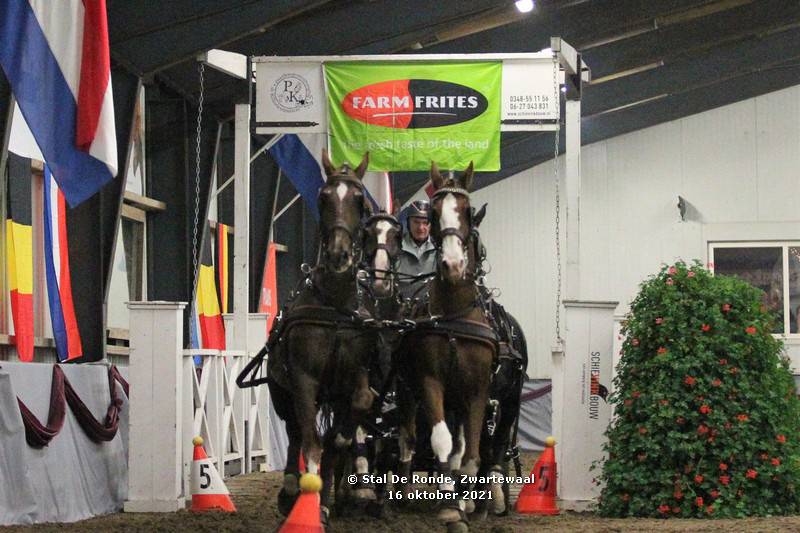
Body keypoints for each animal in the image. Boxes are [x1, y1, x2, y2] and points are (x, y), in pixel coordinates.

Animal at [266, 150, 377, 522]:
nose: (338, 254)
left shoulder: (353, 380)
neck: (335, 306)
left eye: (359, 201)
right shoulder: (303, 379)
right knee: (294, 433)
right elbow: (311, 442)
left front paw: (326, 497)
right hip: (280, 391)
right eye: (323, 197)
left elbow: (339, 437)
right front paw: (309, 502)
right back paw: (289, 490)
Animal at [398, 162, 497, 532]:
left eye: (468, 211)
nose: (453, 266)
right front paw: (449, 508)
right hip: (408, 391)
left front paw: (463, 503)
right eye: (435, 212)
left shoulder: (478, 390)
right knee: (408, 438)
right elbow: (440, 441)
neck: (455, 314)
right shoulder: (431, 382)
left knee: (461, 446)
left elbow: (470, 454)